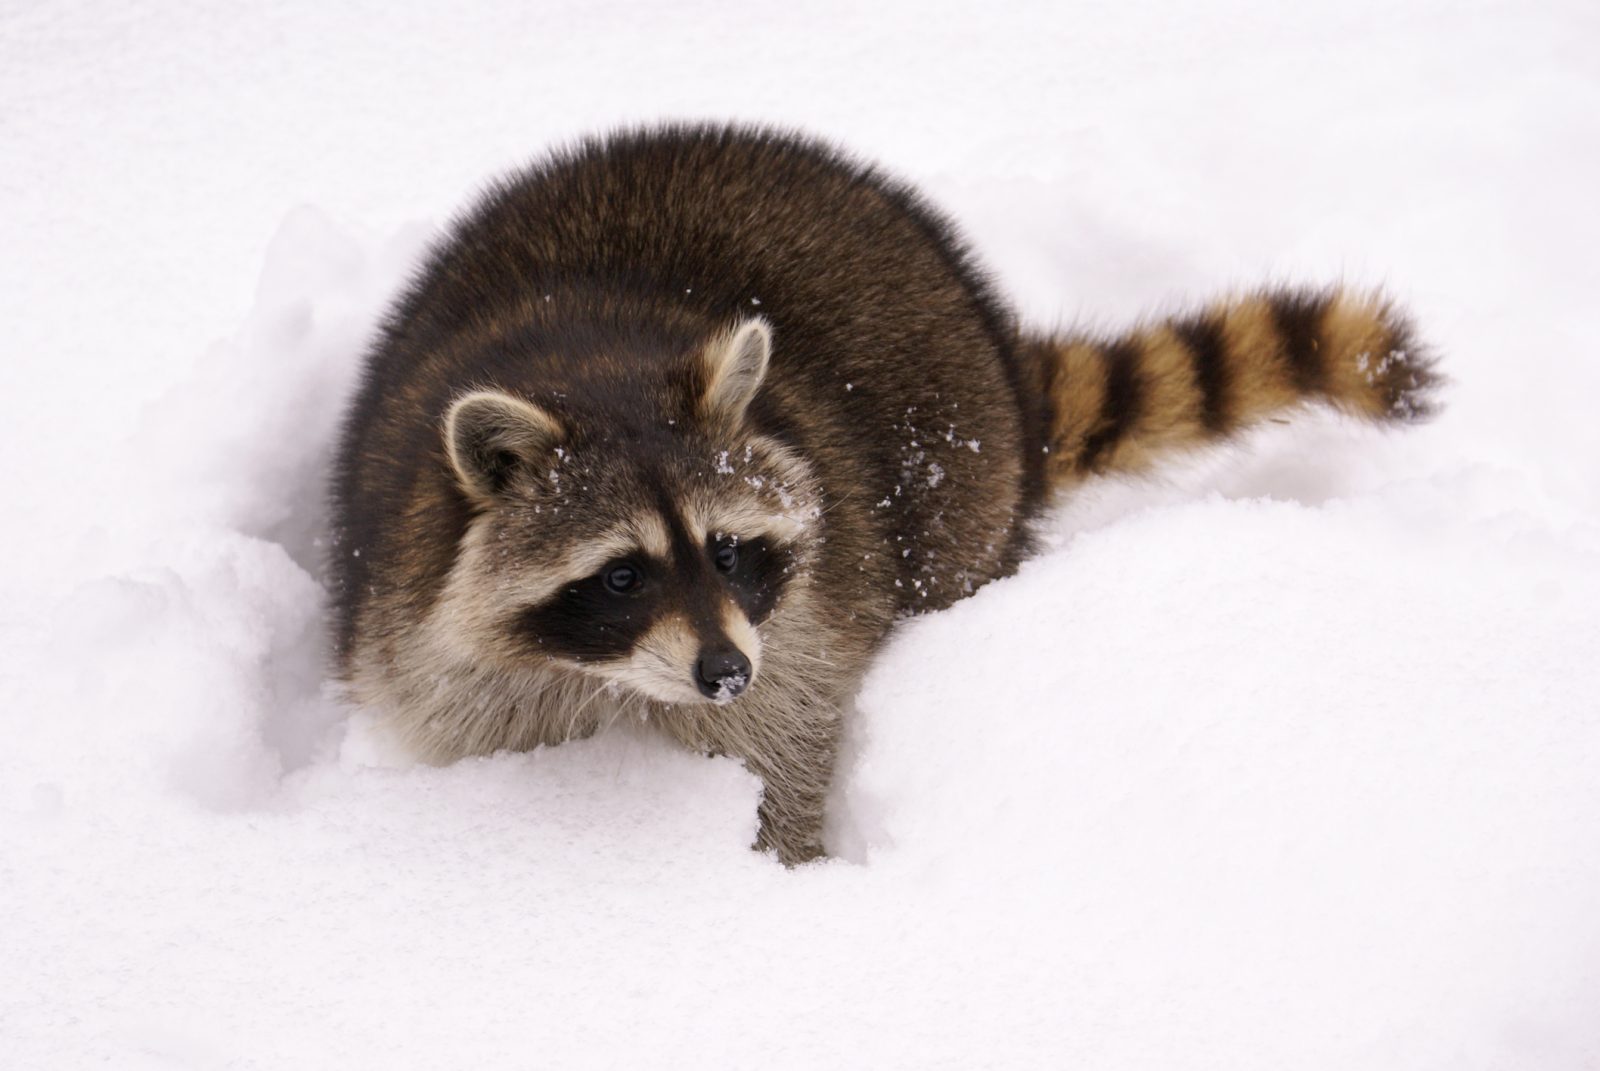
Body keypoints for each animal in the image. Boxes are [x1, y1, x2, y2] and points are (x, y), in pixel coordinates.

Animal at [330, 124, 1438, 864]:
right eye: (621, 576)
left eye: (728, 549)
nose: (724, 671)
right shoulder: (422, 624)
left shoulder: (799, 631)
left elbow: (787, 750)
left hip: (960, 481)